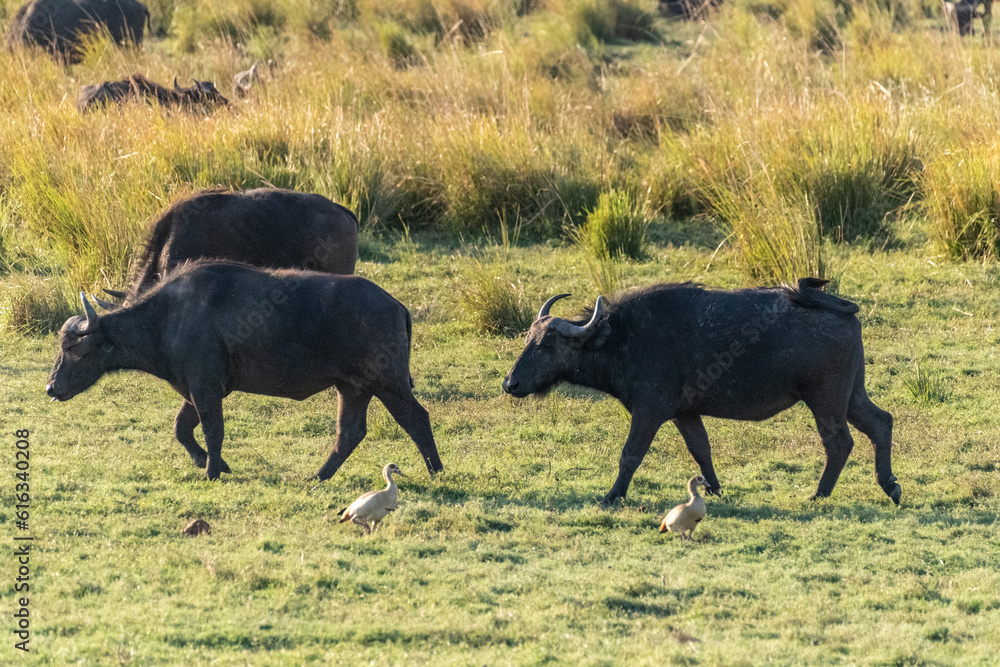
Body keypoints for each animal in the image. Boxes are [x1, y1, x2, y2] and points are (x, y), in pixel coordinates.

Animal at [47, 261, 444, 481]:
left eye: (72, 348)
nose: (51, 388)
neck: (167, 318)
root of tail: (395, 304)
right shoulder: (196, 389)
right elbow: (182, 429)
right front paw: (213, 464)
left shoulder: (206, 388)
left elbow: (212, 431)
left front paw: (211, 471)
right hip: (353, 388)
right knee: (349, 433)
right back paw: (318, 476)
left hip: (388, 382)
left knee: (416, 419)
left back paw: (437, 471)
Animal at [502, 279, 901, 506]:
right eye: (527, 339)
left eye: (546, 345)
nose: (510, 384)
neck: (621, 337)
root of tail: (844, 311)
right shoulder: (685, 414)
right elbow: (702, 452)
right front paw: (715, 489)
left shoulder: (649, 413)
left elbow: (630, 455)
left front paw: (613, 495)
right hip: (852, 396)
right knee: (881, 423)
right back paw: (890, 486)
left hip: (825, 400)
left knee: (839, 443)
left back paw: (819, 495)